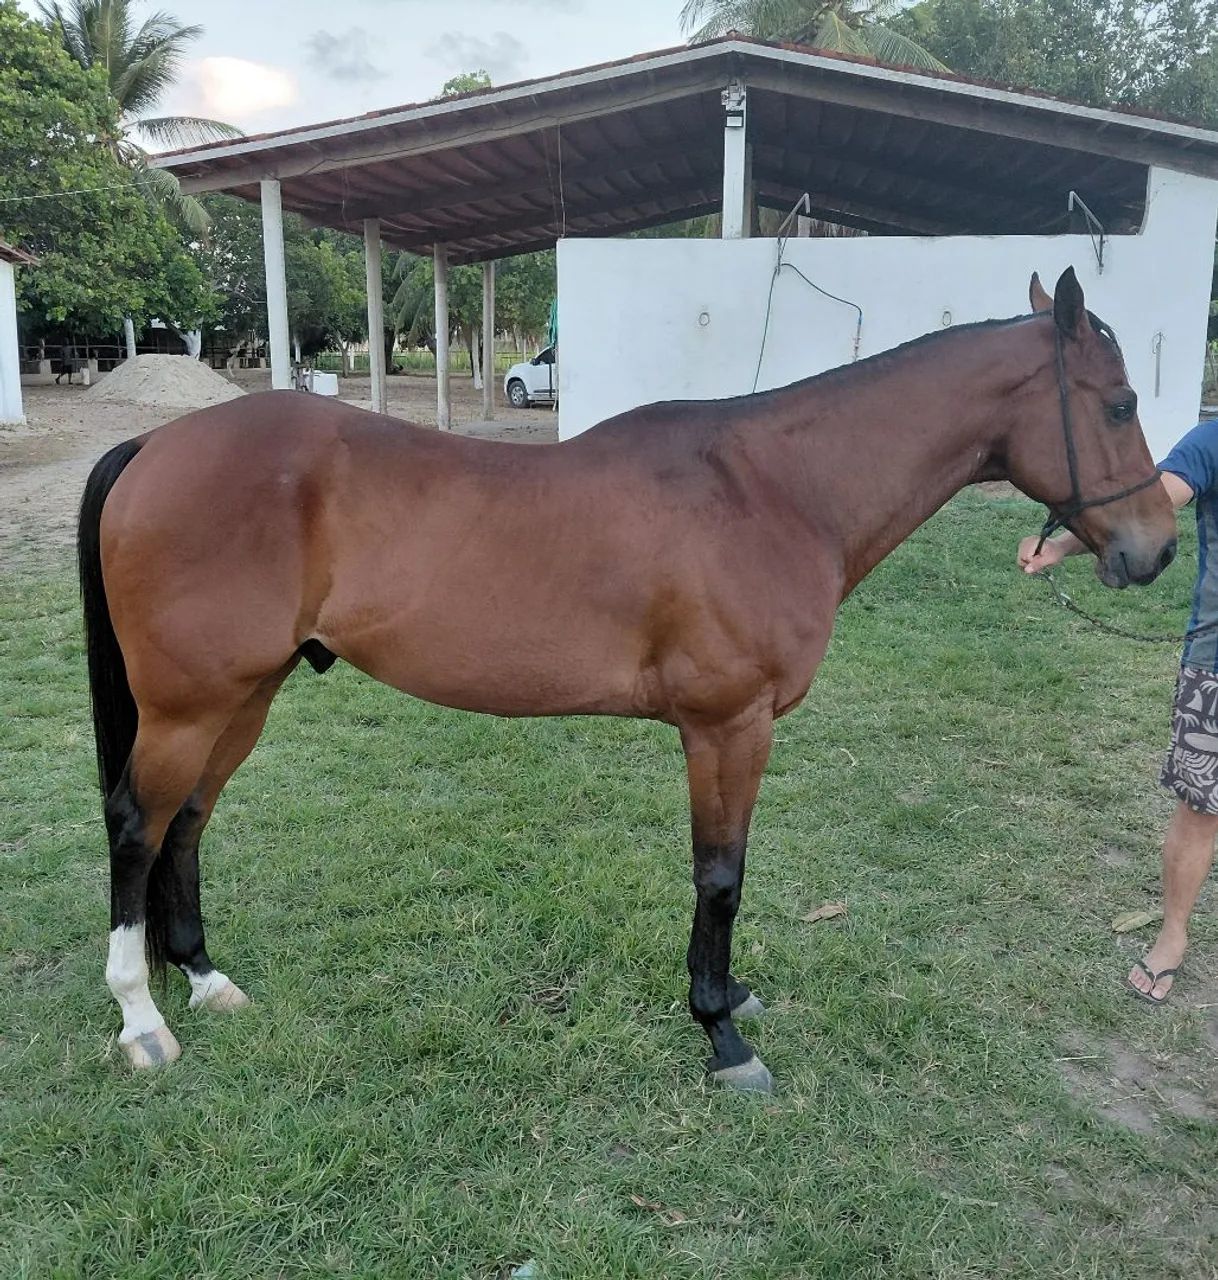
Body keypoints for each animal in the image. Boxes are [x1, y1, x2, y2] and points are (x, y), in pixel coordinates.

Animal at [78, 268, 1176, 1089]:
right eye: (1120, 403)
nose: (1158, 550)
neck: (775, 491)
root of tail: (154, 444)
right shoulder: (729, 725)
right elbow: (721, 876)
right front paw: (723, 1032)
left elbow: (724, 874)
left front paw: (727, 1002)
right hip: (188, 706)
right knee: (137, 825)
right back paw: (142, 1019)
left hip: (244, 697)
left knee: (187, 823)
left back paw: (205, 979)